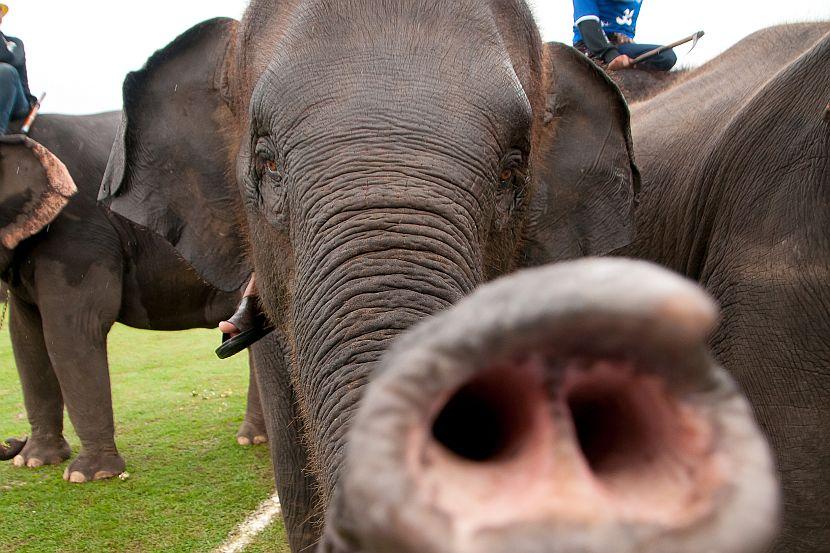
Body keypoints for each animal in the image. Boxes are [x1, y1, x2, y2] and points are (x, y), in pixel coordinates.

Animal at [0, 113, 266, 484]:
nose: (12, 441)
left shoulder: (78, 232)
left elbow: (74, 328)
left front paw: (89, 476)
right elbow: (25, 336)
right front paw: (35, 461)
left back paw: (252, 439)